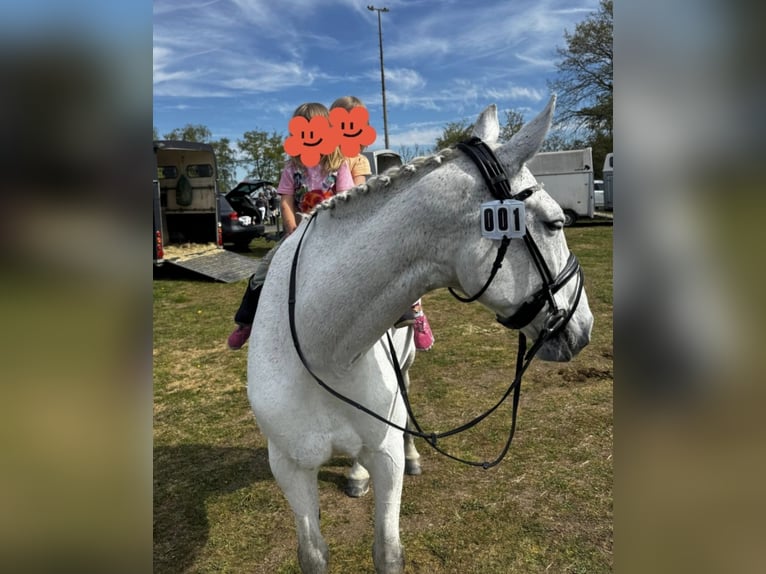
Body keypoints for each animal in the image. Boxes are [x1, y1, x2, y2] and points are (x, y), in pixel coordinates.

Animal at [247, 95, 593, 574]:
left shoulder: (386, 455)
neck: (323, 351)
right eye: (556, 223)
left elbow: (388, 550)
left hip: (406, 369)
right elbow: (313, 553)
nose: (584, 326)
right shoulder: (289, 468)